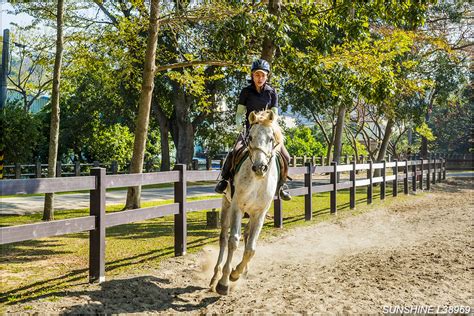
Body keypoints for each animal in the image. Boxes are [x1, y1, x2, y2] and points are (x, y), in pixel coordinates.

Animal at [210, 110, 284, 296]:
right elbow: (233, 241)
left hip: (250, 214)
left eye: (271, 138)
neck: (257, 180)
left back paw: (243, 270)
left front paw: (236, 273)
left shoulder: (260, 214)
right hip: (226, 205)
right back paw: (215, 276)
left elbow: (251, 248)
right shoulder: (237, 207)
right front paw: (224, 282)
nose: (260, 168)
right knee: (223, 238)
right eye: (250, 137)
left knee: (247, 235)